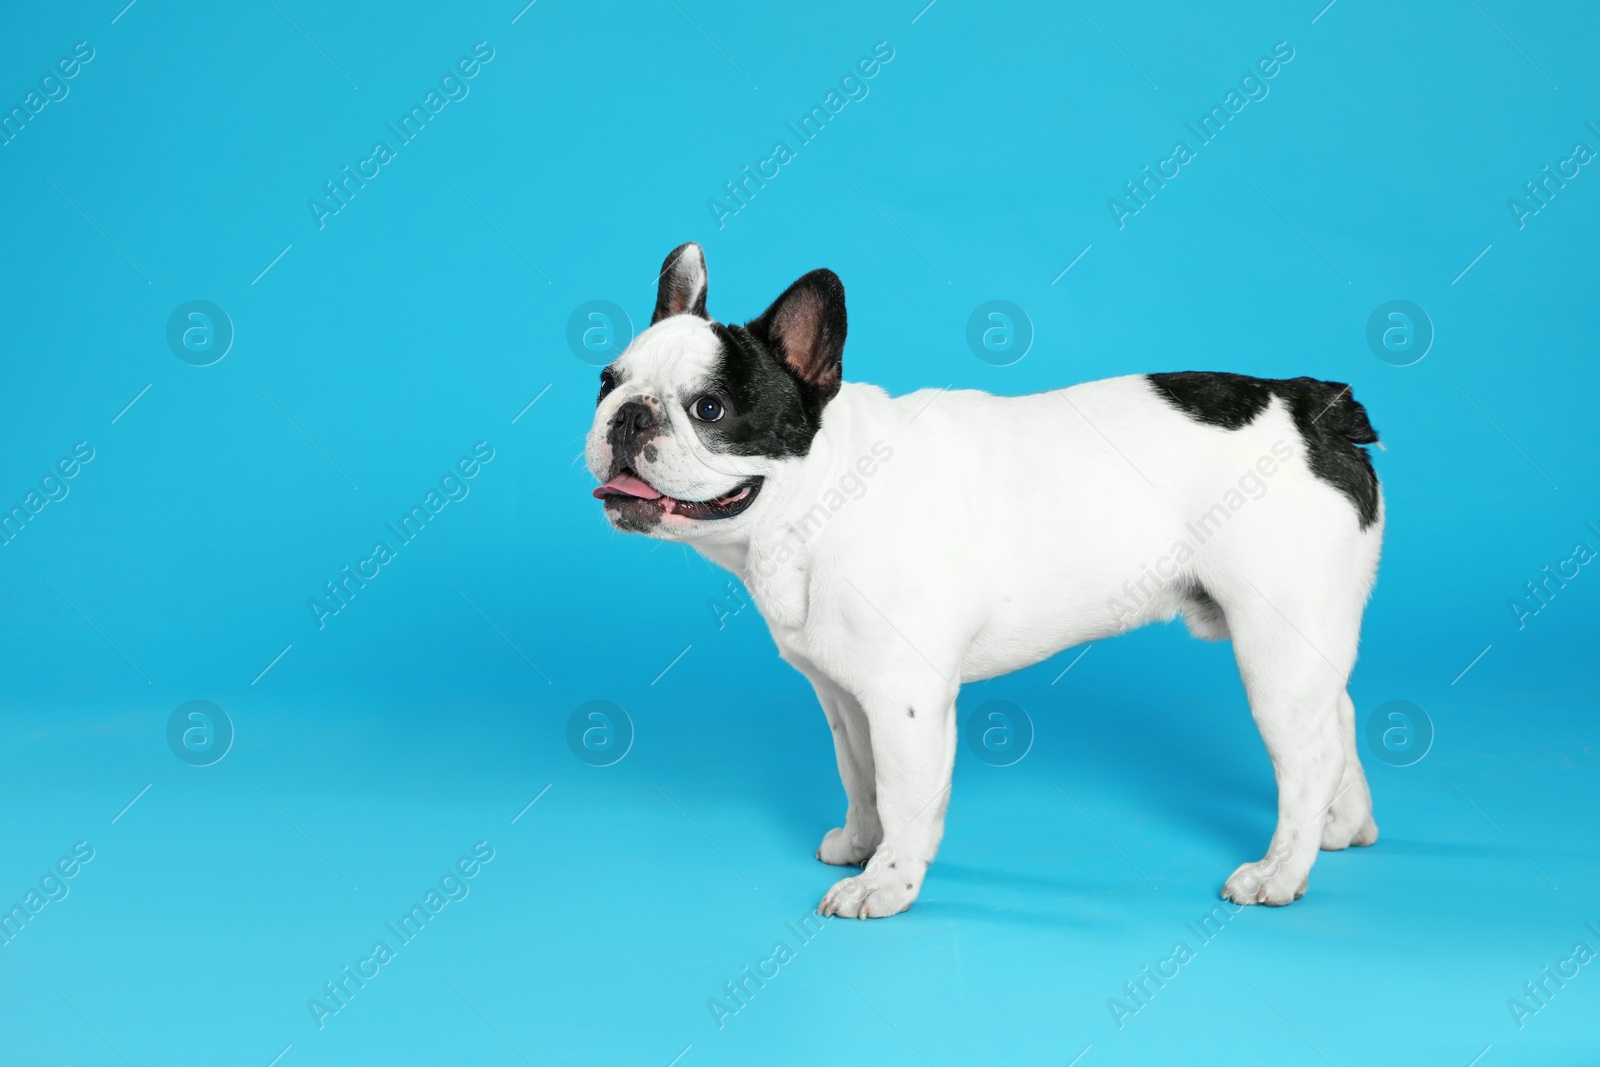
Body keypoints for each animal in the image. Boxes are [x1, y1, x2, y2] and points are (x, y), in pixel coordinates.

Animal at [592, 241, 1388, 921]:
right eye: (606, 381)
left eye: (710, 409)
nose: (627, 416)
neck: (821, 497)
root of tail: (1316, 407)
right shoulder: (844, 694)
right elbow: (860, 774)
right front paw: (861, 843)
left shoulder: (906, 700)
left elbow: (905, 792)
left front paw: (886, 883)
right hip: (1307, 639)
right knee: (1338, 717)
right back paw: (1340, 828)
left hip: (1274, 644)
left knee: (1309, 754)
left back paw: (1281, 871)